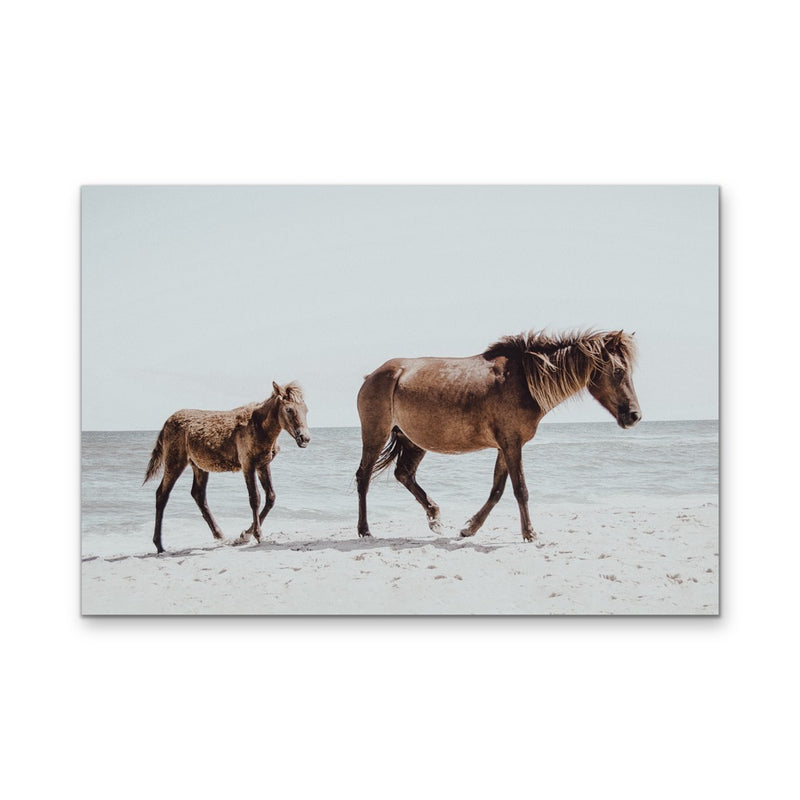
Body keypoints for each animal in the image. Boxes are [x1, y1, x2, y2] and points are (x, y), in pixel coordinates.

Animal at [144, 381, 310, 553]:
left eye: (306, 410)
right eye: (289, 409)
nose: (304, 438)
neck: (259, 427)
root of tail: (165, 424)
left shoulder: (263, 465)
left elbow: (271, 497)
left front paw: (245, 535)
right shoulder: (248, 465)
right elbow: (255, 498)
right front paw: (255, 535)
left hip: (199, 466)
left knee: (198, 494)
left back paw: (220, 535)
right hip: (175, 461)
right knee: (162, 494)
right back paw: (159, 545)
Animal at [355, 329, 641, 542]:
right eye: (618, 371)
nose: (634, 415)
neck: (524, 381)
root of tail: (373, 375)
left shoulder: (506, 446)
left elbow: (497, 490)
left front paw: (469, 528)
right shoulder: (512, 444)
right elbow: (520, 489)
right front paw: (530, 533)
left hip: (413, 441)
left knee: (404, 474)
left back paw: (434, 517)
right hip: (376, 434)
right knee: (364, 477)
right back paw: (365, 530)